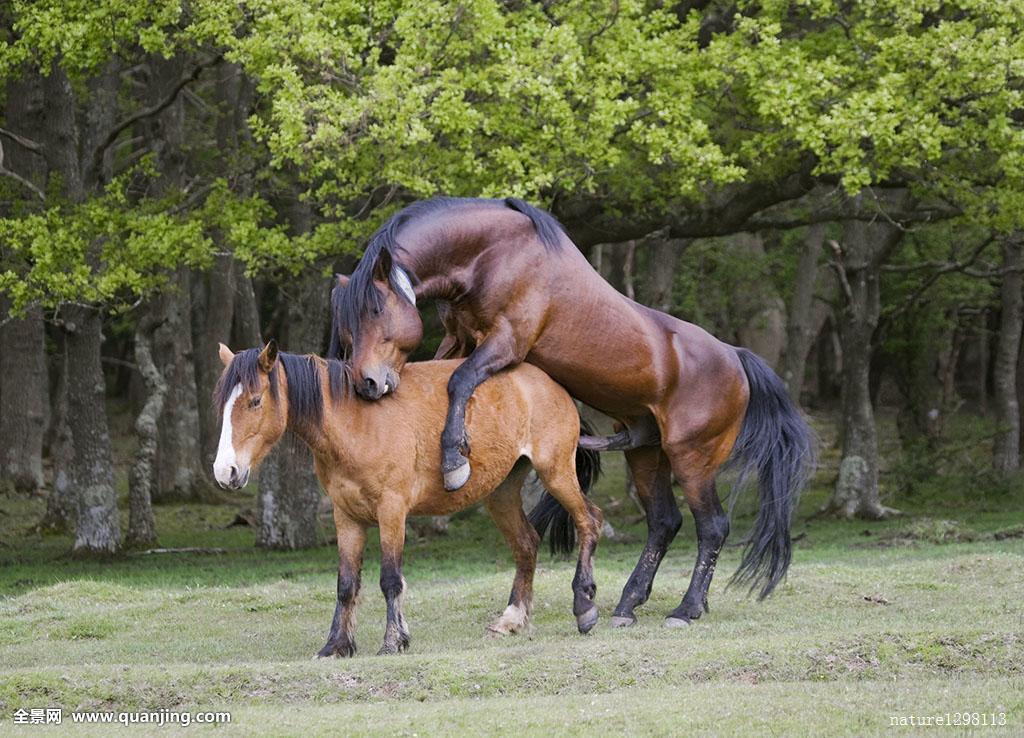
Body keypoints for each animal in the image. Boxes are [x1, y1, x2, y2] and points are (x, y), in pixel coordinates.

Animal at [211, 339, 602, 655]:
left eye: (255, 401)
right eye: (223, 405)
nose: (225, 471)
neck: (355, 423)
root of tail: (553, 385)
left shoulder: (391, 511)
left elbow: (390, 579)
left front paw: (393, 640)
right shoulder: (346, 516)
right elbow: (345, 584)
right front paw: (336, 645)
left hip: (556, 472)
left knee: (589, 522)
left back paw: (584, 607)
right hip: (501, 493)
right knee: (527, 544)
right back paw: (511, 620)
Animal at [327, 197, 815, 626]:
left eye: (376, 309)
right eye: (346, 325)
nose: (367, 382)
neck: (492, 253)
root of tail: (735, 357)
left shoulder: (503, 343)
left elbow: (458, 382)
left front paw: (453, 462)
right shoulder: (459, 339)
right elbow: (440, 382)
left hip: (691, 458)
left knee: (712, 526)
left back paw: (685, 609)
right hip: (646, 453)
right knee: (664, 522)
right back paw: (627, 605)